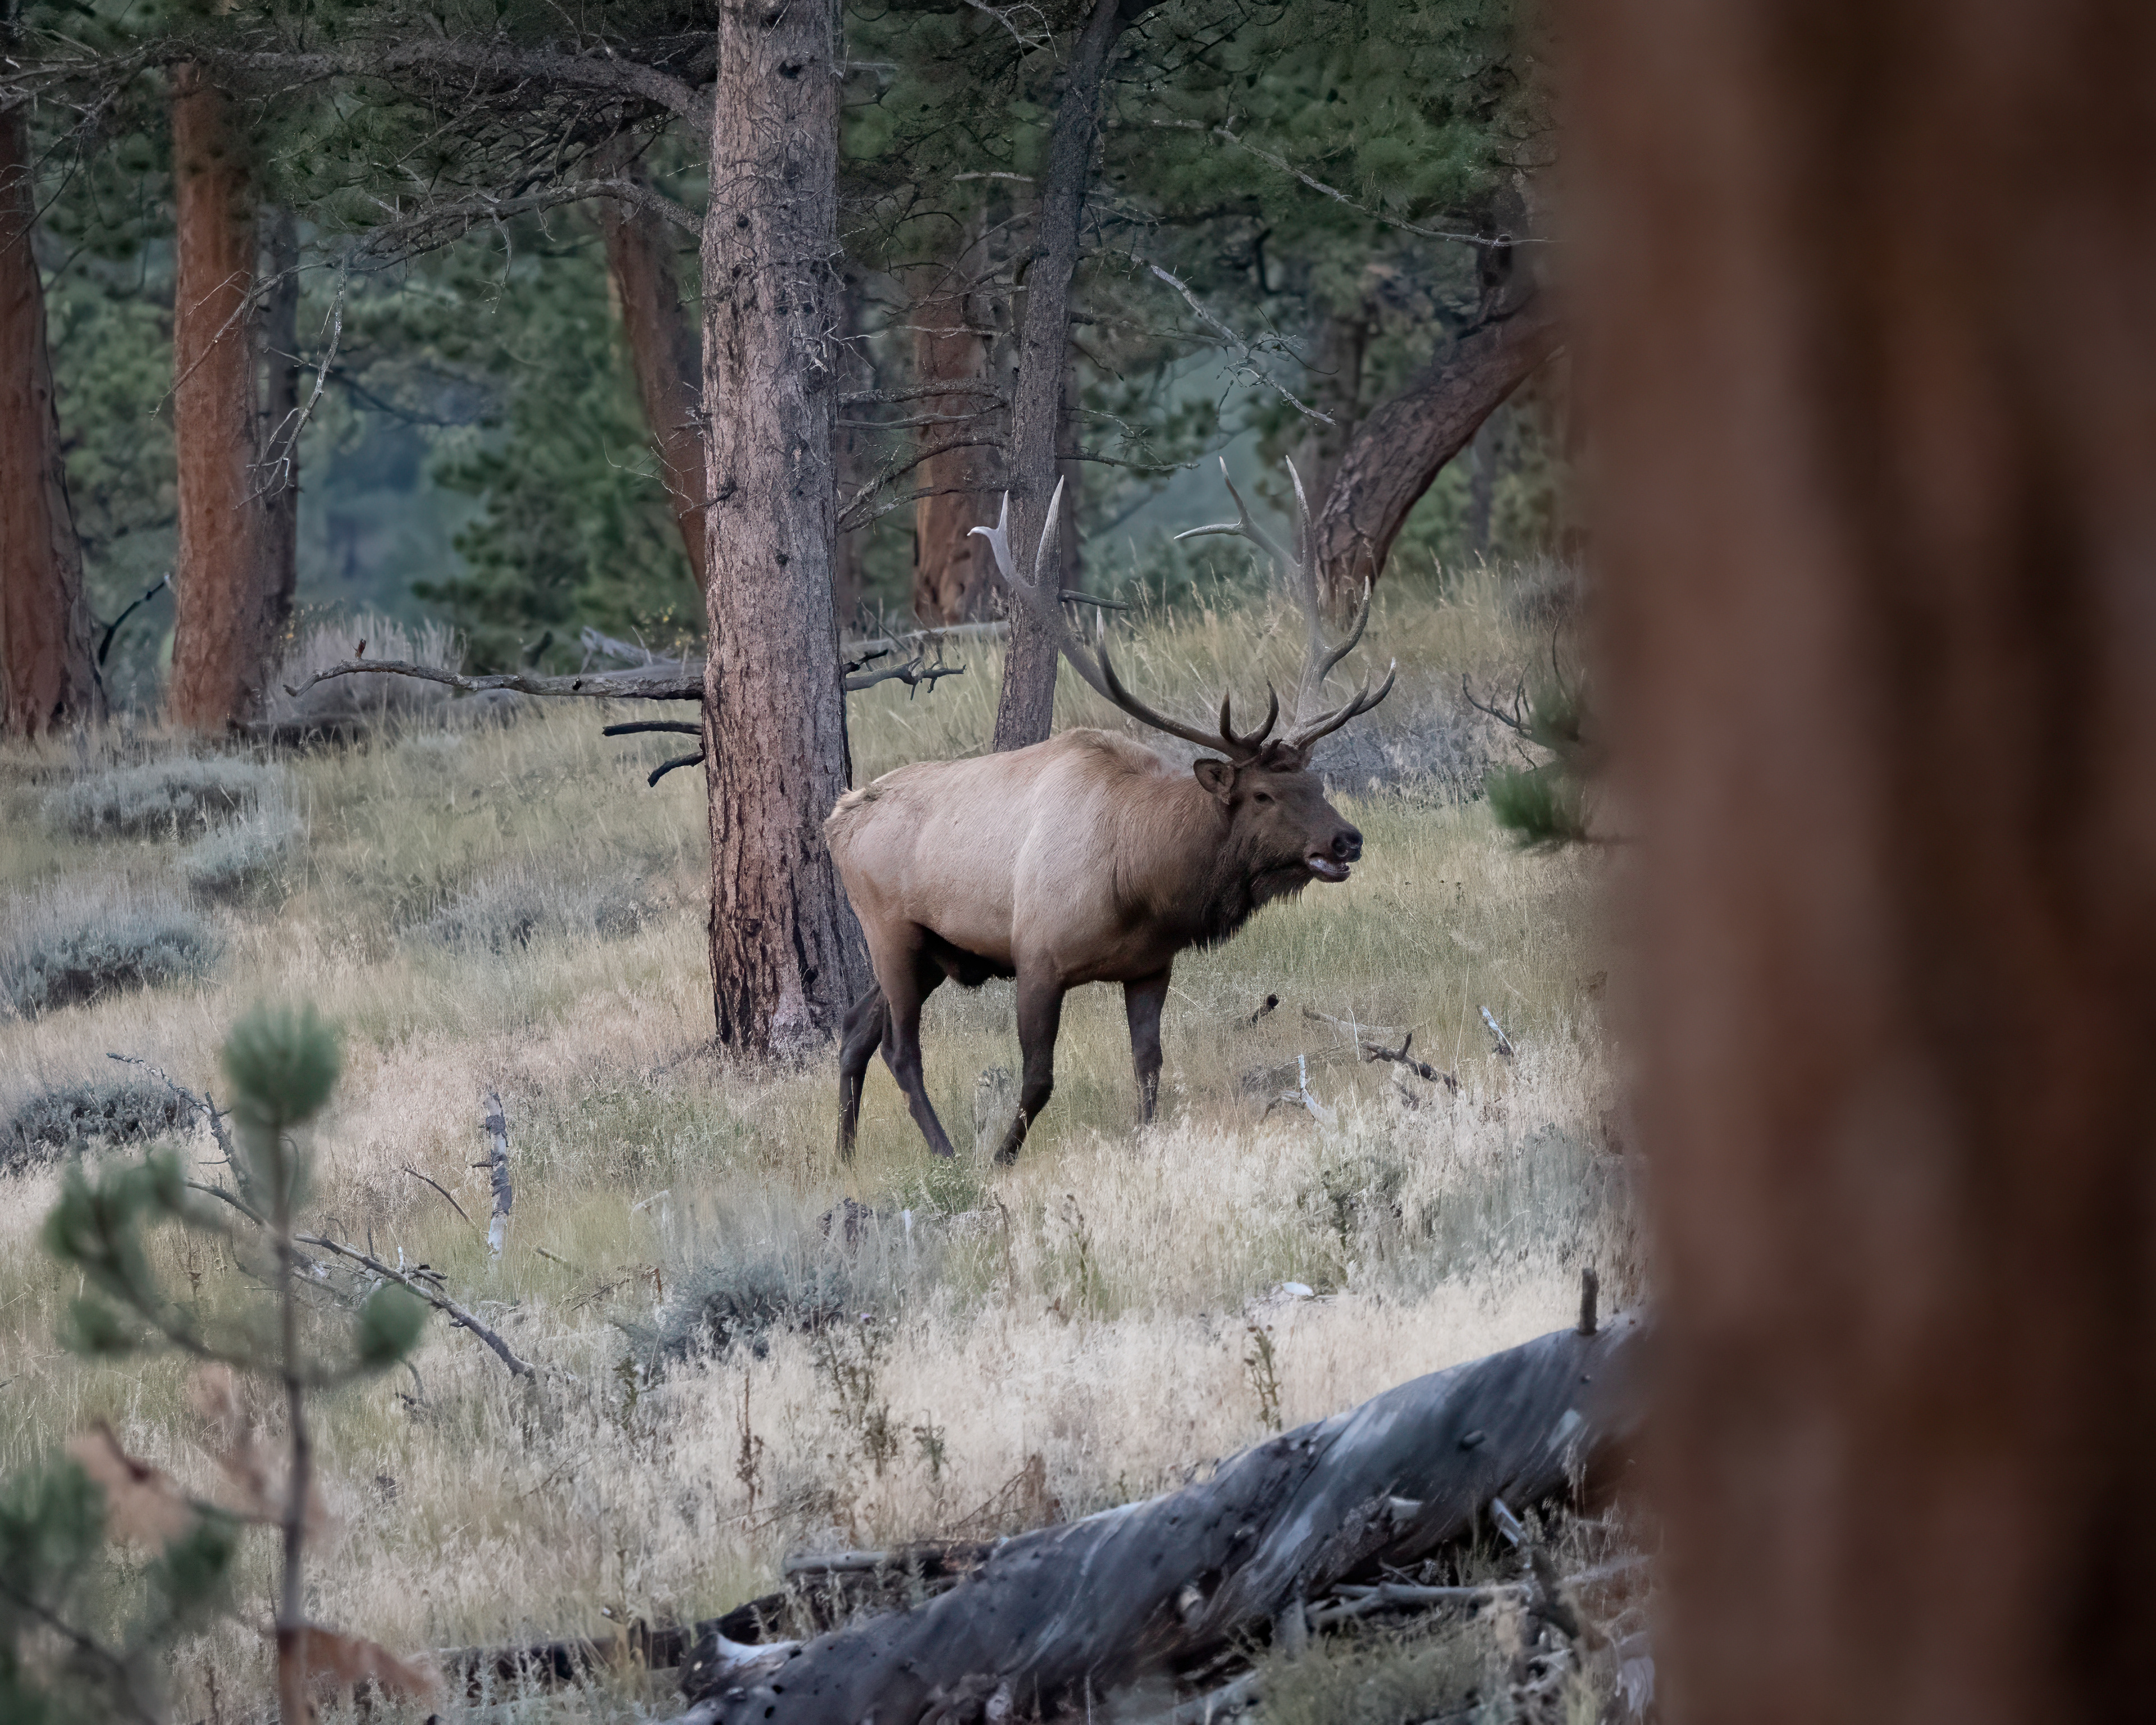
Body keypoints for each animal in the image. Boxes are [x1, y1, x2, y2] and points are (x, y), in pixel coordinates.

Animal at [825, 462, 1395, 1165]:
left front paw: (1145, 1140)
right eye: (1262, 794)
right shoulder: (1037, 959)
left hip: (930, 952)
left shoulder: (1151, 966)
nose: (1346, 840)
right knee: (901, 1051)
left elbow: (1148, 1065)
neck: (1142, 880)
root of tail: (834, 820)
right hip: (890, 930)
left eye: (1315, 781)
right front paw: (1002, 1158)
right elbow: (1038, 1078)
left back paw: (845, 1155)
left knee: (855, 1027)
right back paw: (948, 1154)